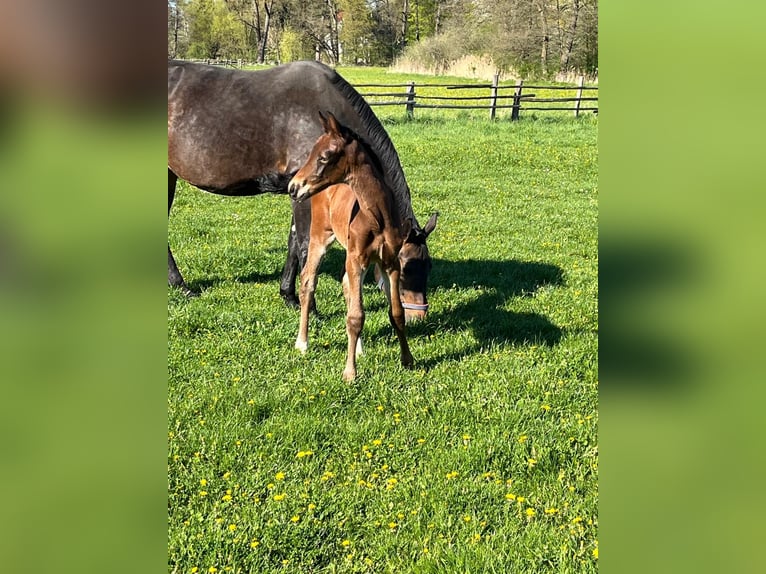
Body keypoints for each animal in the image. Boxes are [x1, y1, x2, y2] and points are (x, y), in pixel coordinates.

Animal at [168, 60, 436, 310]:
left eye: (428, 266)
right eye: (405, 266)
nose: (418, 314)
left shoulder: (299, 192)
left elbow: (294, 244)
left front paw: (289, 295)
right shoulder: (305, 194)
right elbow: (307, 247)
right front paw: (311, 308)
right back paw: (181, 286)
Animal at [289, 112, 436, 380]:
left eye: (324, 156)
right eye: (314, 153)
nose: (294, 187)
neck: (377, 216)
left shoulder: (388, 262)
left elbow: (396, 313)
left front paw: (407, 359)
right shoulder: (357, 258)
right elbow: (355, 316)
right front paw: (349, 373)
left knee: (347, 285)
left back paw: (359, 349)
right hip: (320, 237)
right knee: (308, 281)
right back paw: (302, 342)